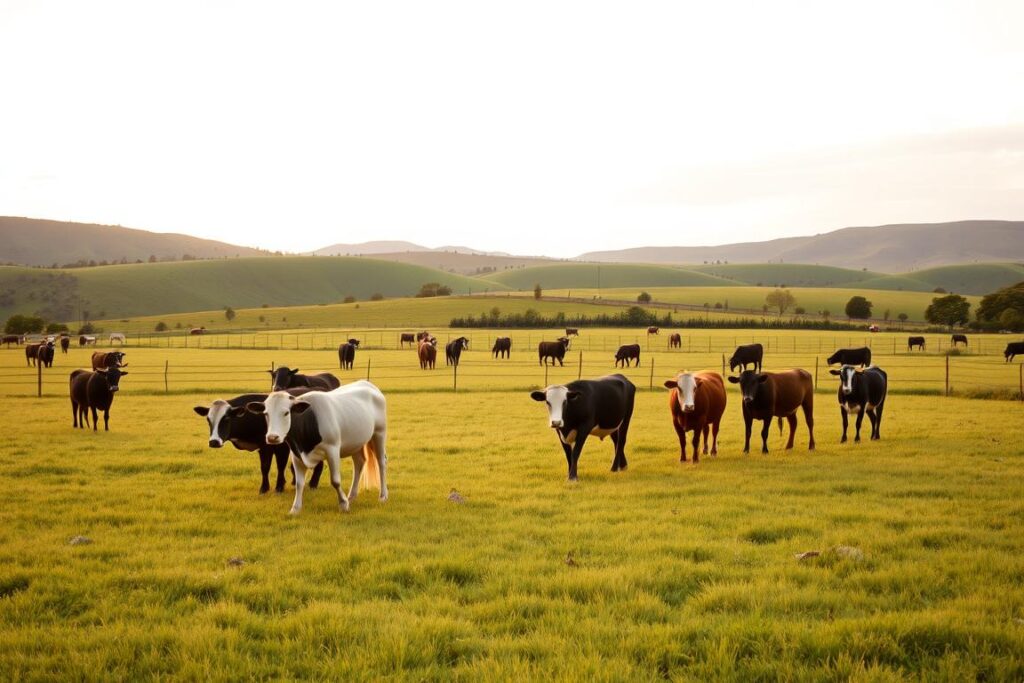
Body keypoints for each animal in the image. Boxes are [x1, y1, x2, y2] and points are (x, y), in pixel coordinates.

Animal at [194, 389, 325, 495]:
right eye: (208, 419)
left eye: (226, 418)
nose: (214, 442)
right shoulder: (264, 448)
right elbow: (265, 467)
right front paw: (269, 487)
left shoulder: (277, 447)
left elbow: (277, 466)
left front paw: (276, 487)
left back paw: (313, 484)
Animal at [245, 381, 390, 515]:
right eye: (266, 414)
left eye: (286, 413)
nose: (272, 437)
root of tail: (368, 384)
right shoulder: (296, 455)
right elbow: (299, 483)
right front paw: (295, 508)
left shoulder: (332, 450)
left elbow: (335, 481)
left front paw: (343, 504)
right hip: (356, 442)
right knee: (359, 463)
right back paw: (352, 495)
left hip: (379, 433)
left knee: (381, 462)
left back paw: (383, 495)